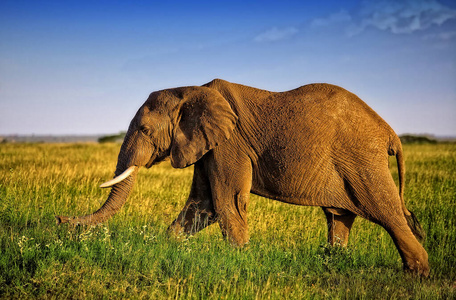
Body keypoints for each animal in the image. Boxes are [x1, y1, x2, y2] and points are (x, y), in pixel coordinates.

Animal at [55, 78, 430, 276]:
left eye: (145, 130)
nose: (61, 221)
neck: (190, 89)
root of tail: (390, 133)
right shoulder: (208, 145)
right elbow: (201, 206)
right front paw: (170, 247)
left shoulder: (229, 144)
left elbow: (226, 202)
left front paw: (238, 262)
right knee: (340, 216)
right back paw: (333, 264)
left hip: (361, 158)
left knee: (387, 212)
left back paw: (418, 274)